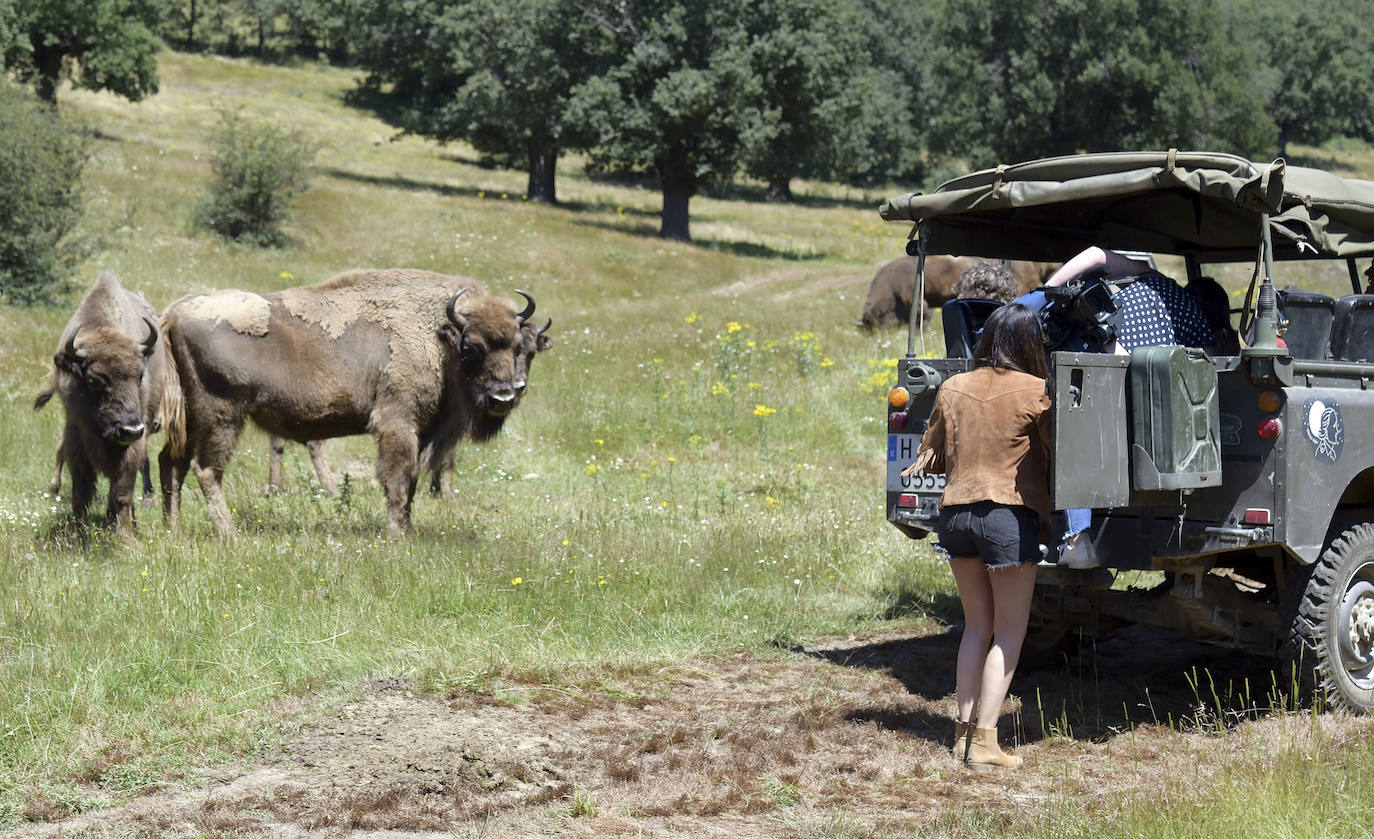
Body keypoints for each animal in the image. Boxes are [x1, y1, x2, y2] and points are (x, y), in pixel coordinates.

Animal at [34, 270, 173, 538]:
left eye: (140, 376)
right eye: (93, 380)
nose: (130, 429)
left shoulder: (131, 447)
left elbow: (121, 493)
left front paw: (125, 536)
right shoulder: (76, 438)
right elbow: (80, 495)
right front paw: (77, 534)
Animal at [157, 271, 552, 541]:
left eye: (519, 347)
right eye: (471, 347)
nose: (504, 396)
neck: (437, 337)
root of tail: (174, 313)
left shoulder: (423, 431)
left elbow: (411, 482)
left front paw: (407, 529)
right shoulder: (397, 423)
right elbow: (397, 480)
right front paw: (395, 535)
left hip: (190, 419)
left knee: (171, 463)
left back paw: (173, 530)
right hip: (221, 415)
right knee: (206, 469)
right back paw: (231, 535)